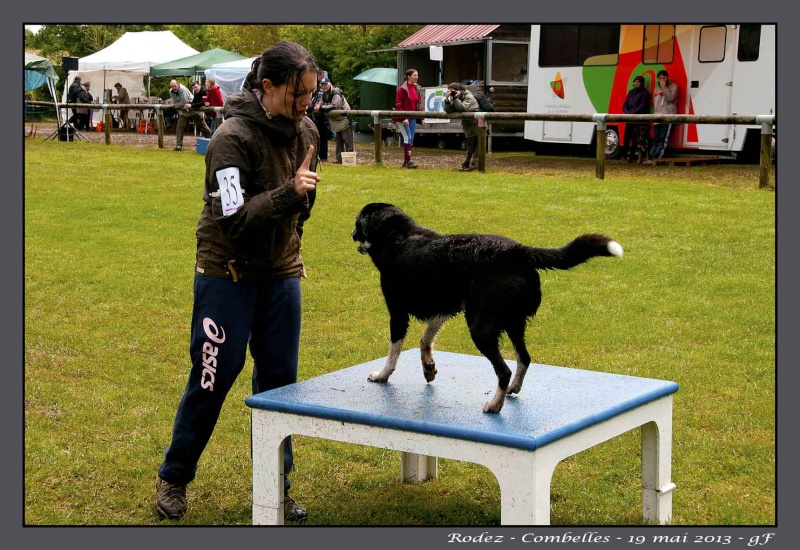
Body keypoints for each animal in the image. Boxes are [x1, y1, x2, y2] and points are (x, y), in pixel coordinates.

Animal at [352, 203, 624, 414]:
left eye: (358, 223)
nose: (352, 232)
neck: (398, 234)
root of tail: (517, 251)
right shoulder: (446, 307)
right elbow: (425, 339)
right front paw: (428, 367)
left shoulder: (398, 313)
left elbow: (394, 350)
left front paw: (382, 375)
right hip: (514, 323)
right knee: (524, 358)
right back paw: (512, 389)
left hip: (481, 328)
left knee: (503, 370)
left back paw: (494, 405)